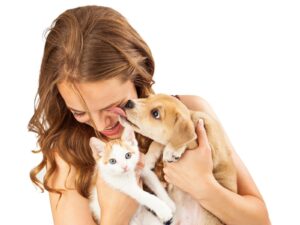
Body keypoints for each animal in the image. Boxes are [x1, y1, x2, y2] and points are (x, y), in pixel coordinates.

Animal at [119, 94, 237, 224]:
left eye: (155, 113)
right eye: (148, 97)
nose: (128, 102)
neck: (192, 118)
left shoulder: (209, 148)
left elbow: (186, 140)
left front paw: (172, 151)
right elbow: (157, 143)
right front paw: (150, 157)